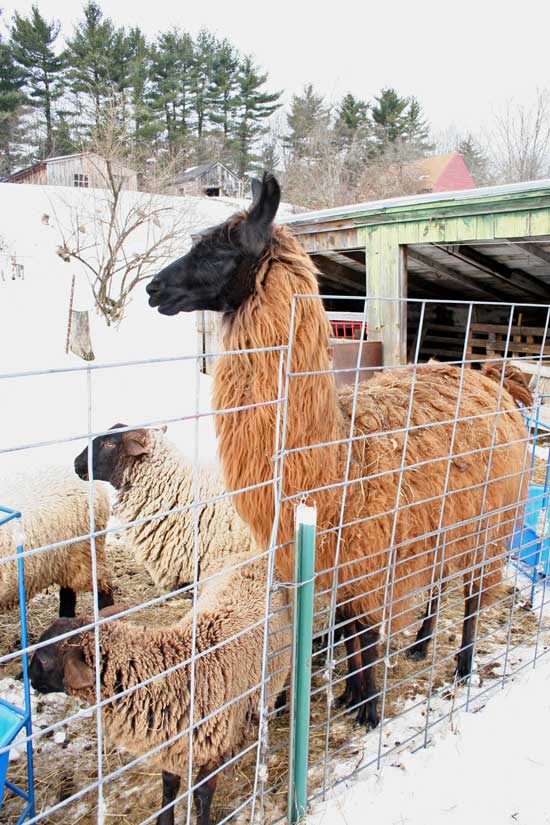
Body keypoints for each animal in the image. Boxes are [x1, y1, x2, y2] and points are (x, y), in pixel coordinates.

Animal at [29, 552, 290, 825]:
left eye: (44, 659)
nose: (27, 678)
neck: (175, 670)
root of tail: (248, 554)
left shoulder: (217, 744)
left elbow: (202, 793)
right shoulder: (172, 741)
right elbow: (169, 785)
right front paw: (164, 819)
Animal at [147, 171, 531, 729]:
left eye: (219, 249)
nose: (153, 288)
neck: (331, 456)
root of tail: (492, 381)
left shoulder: (365, 553)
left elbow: (365, 636)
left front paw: (368, 709)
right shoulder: (339, 561)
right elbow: (349, 631)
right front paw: (351, 694)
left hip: (492, 515)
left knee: (475, 593)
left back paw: (461, 665)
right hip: (446, 516)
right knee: (440, 580)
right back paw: (420, 644)